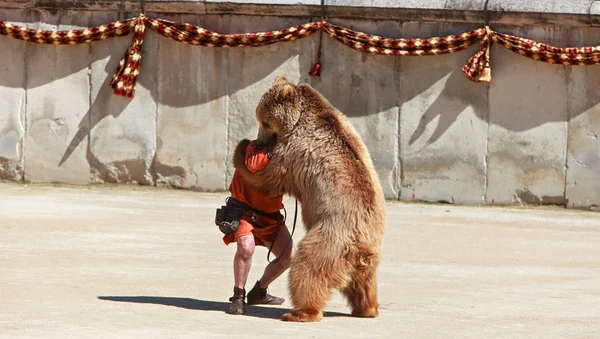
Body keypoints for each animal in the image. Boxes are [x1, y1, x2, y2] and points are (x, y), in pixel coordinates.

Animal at [232, 75, 386, 324]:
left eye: (264, 122)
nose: (260, 142)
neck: (298, 120)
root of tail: (360, 247)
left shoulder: (293, 151)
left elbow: (268, 178)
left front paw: (241, 147)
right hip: (368, 256)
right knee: (364, 283)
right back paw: (367, 309)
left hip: (330, 239)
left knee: (307, 269)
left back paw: (300, 312)